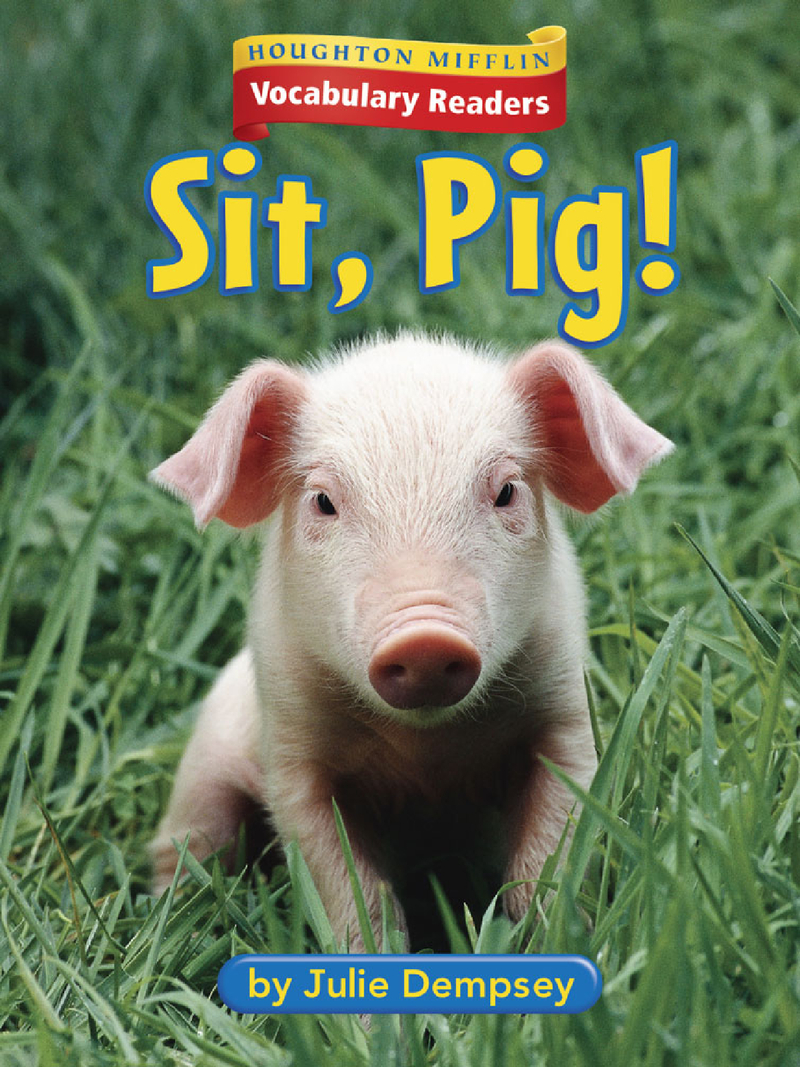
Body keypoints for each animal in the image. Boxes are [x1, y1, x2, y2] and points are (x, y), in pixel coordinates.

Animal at [149, 333, 673, 947]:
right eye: (323, 501)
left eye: (506, 491)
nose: (424, 639)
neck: (428, 758)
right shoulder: (293, 749)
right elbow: (346, 885)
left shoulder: (564, 711)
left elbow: (549, 855)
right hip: (205, 758)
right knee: (189, 841)